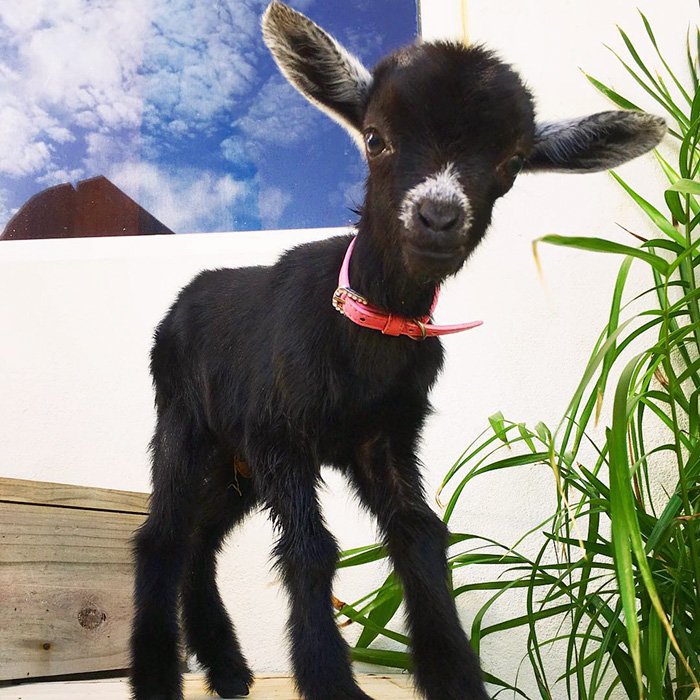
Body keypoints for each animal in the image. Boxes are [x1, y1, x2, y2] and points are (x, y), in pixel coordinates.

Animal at [129, 3, 666, 699]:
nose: (438, 217)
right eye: (375, 138)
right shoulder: (280, 435)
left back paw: (225, 667)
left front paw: (455, 676)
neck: (363, 340)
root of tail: (186, 296)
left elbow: (420, 538)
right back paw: (155, 675)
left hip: (234, 460)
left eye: (511, 164)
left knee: (200, 535)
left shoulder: (384, 441)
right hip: (185, 424)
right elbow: (312, 550)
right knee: (162, 535)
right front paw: (329, 679)